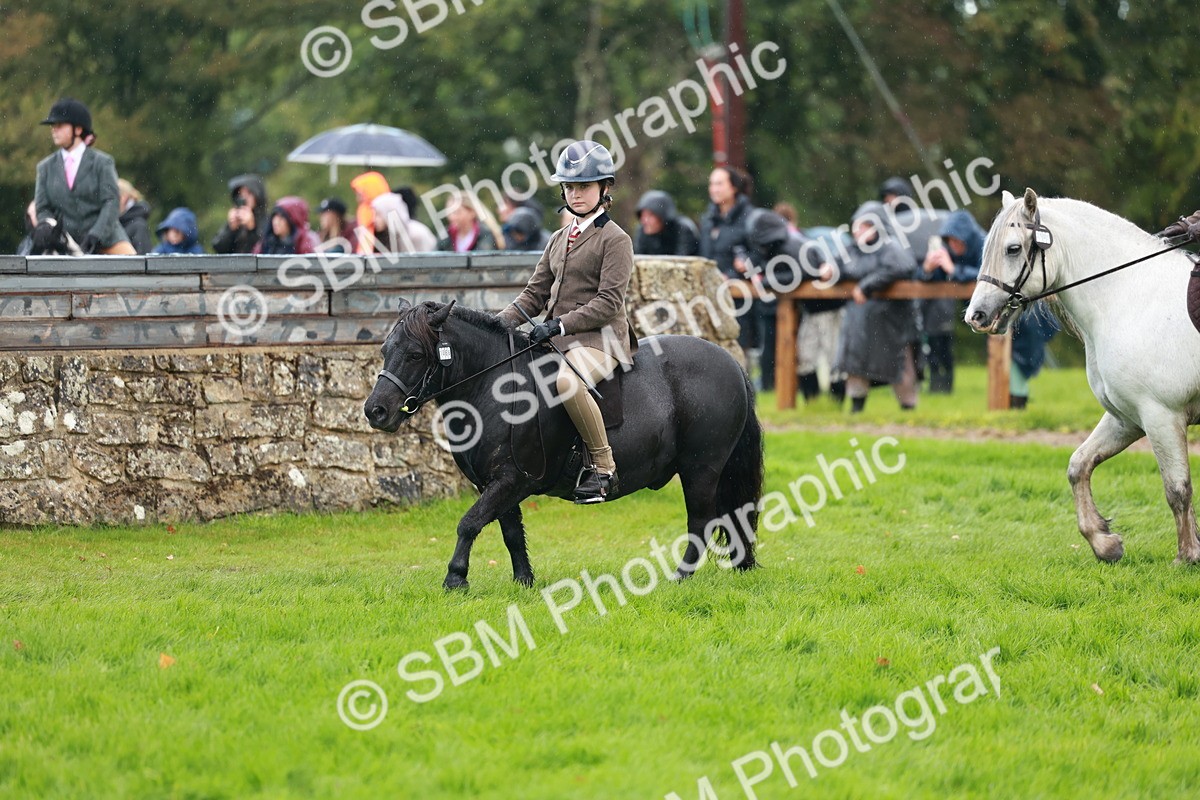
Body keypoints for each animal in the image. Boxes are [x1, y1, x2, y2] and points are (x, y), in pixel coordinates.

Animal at [364, 299, 764, 589]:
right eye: (385, 350)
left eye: (416, 354)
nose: (375, 411)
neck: (495, 387)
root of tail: (731, 363)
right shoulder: (499, 483)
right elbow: (510, 532)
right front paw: (524, 581)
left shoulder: (512, 479)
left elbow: (470, 522)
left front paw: (455, 577)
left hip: (701, 468)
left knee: (701, 521)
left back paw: (680, 576)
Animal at [966, 187, 1200, 564]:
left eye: (1013, 249)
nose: (977, 315)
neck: (1128, 296)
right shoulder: (1128, 418)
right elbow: (1078, 465)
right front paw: (1104, 542)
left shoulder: (1162, 416)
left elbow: (1177, 489)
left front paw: (1187, 557)